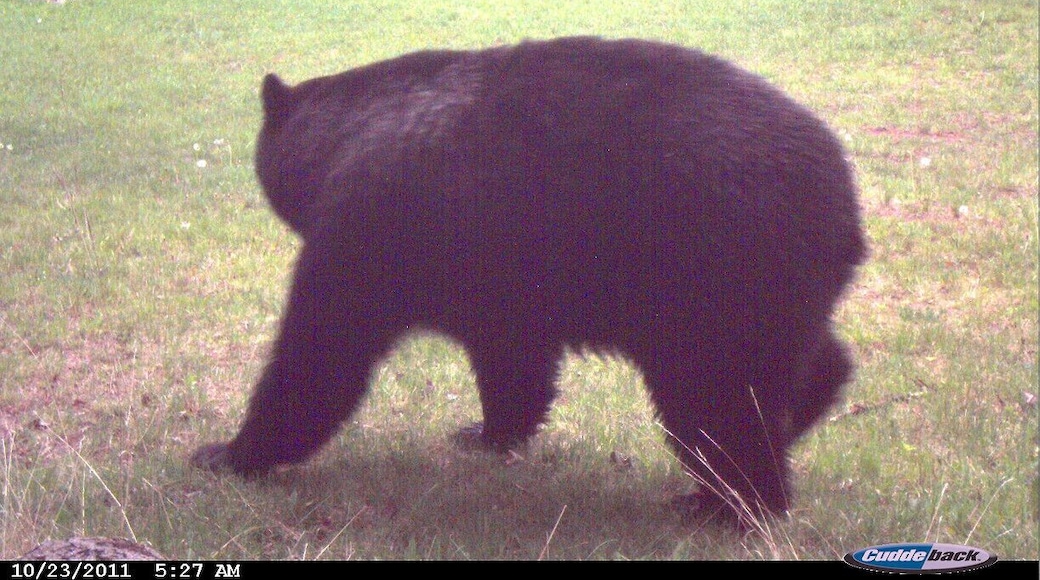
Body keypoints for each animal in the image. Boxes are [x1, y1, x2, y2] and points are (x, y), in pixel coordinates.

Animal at [191, 36, 867, 523]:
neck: (344, 135)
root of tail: (846, 203)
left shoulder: (371, 228)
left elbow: (322, 348)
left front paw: (228, 453)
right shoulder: (499, 275)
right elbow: (511, 357)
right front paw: (486, 434)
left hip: (714, 277)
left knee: (719, 399)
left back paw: (726, 505)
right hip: (774, 288)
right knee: (807, 362)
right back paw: (802, 414)